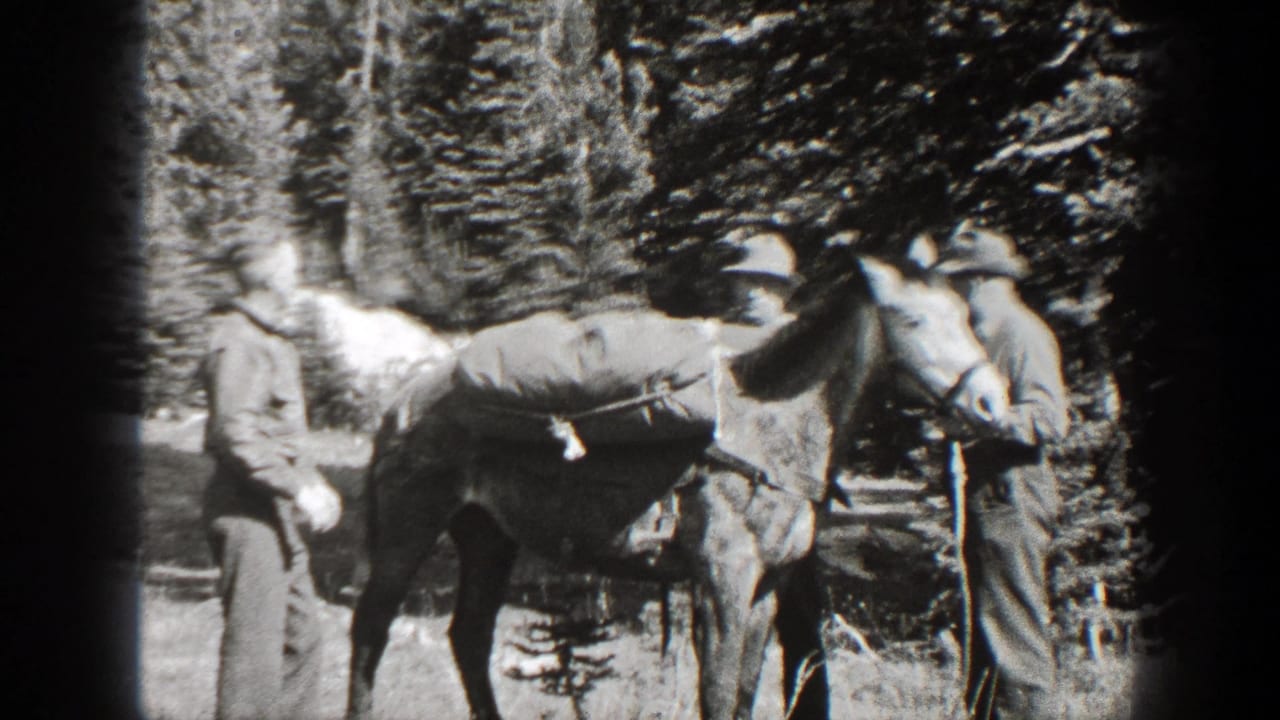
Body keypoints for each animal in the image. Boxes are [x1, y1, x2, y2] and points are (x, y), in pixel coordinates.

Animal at [345, 237, 1010, 720]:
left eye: (965, 314)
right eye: (912, 320)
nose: (989, 404)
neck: (771, 429)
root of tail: (399, 401)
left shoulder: (766, 588)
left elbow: (743, 691)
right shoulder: (721, 583)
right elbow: (717, 694)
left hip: (488, 539)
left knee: (469, 638)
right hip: (408, 532)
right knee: (370, 632)